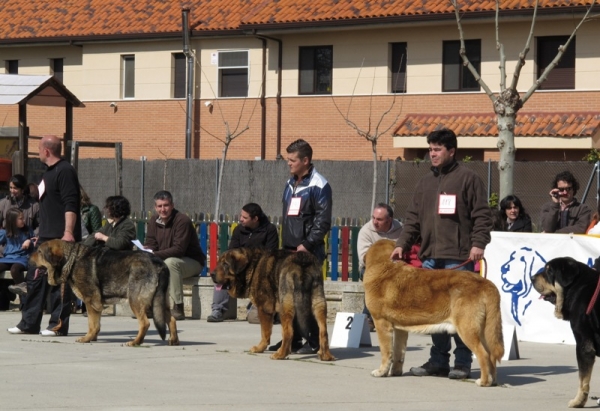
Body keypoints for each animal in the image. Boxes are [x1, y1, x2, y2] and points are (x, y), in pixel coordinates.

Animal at [29, 240, 178, 350]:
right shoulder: (96, 303)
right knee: (171, 319)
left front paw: (87, 338)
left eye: (39, 252)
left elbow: (92, 324)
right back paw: (173, 340)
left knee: (145, 323)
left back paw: (135, 342)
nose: (27, 257)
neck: (71, 259)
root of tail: (159, 263)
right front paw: (92, 337)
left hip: (137, 300)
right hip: (159, 301)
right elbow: (96, 324)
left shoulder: (91, 301)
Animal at [364, 240, 504, 388]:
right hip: (485, 331)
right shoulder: (400, 329)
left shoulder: (381, 323)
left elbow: (386, 352)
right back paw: (493, 381)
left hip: (467, 329)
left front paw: (381, 372)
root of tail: (486, 283)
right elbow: (398, 353)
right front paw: (395, 372)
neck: (385, 266)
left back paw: (483, 382)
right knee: (491, 355)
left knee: (483, 354)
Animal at [532, 258, 600, 408]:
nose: (531, 278)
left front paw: (578, 401)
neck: (577, 287)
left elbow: (583, 379)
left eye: (549, 271)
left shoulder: (583, 345)